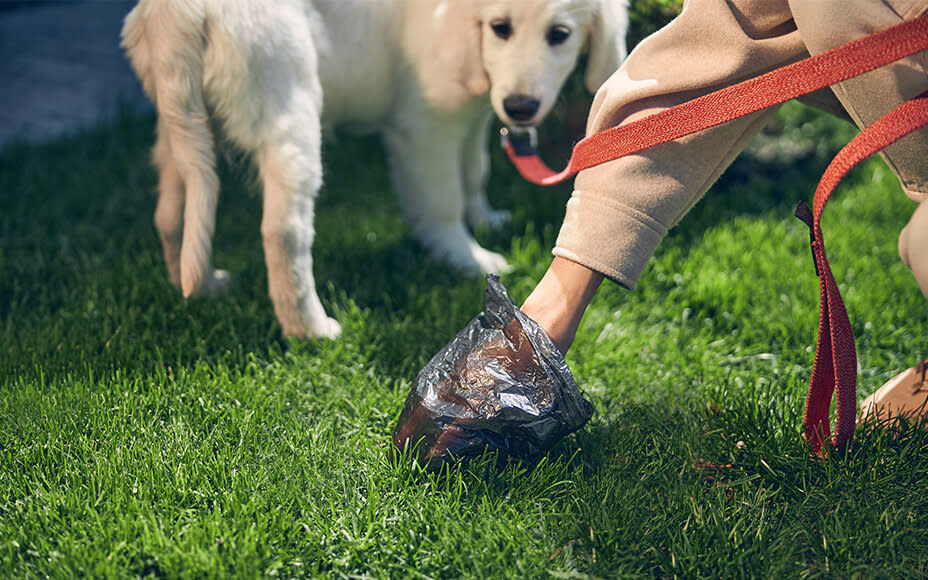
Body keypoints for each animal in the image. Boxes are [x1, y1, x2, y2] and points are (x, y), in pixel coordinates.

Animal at [123, 0, 628, 338]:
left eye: (559, 34)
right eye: (500, 28)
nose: (521, 108)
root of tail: (178, 13)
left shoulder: (472, 115)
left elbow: (475, 169)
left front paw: (485, 218)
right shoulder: (426, 124)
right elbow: (441, 199)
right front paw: (466, 257)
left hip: (185, 123)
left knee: (173, 211)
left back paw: (202, 284)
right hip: (287, 106)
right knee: (283, 230)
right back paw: (310, 327)